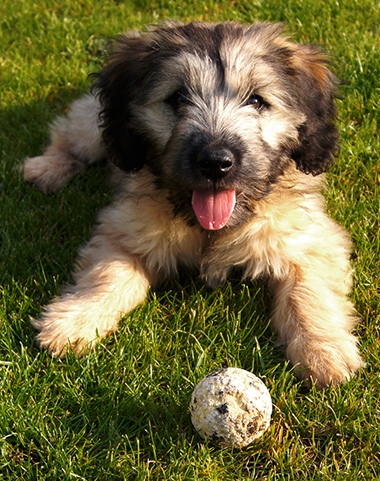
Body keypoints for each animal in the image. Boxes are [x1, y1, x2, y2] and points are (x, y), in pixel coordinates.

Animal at [23, 21, 362, 386]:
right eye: (178, 98)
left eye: (257, 101)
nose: (215, 162)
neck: (211, 228)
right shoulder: (126, 230)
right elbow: (107, 276)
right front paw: (75, 320)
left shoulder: (308, 239)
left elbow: (309, 293)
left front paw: (324, 351)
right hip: (98, 129)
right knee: (70, 133)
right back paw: (47, 167)